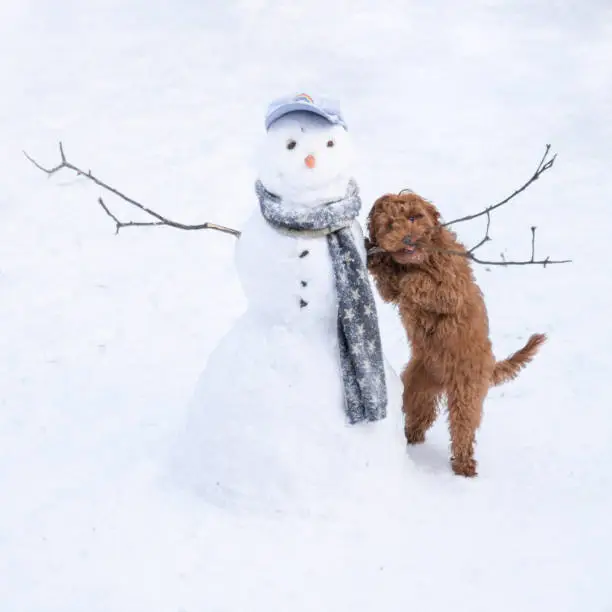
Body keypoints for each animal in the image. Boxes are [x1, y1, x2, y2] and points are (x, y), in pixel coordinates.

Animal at [366, 191, 548, 478]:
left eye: (414, 217)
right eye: (390, 225)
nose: (408, 239)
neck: (421, 259)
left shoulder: (452, 287)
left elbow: (420, 283)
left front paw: (405, 276)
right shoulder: (392, 289)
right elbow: (389, 283)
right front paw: (378, 259)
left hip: (467, 391)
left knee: (463, 428)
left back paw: (464, 465)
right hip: (418, 385)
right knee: (420, 414)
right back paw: (410, 436)